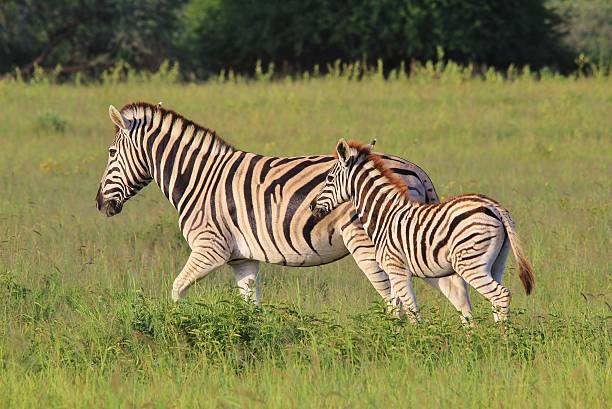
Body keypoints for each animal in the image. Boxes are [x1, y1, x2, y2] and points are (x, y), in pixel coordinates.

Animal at [95, 101, 470, 316]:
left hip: (372, 243)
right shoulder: (242, 258)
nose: (99, 204)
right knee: (453, 288)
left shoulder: (209, 248)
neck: (199, 178)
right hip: (415, 244)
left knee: (395, 298)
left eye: (111, 153)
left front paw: (178, 326)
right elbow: (250, 308)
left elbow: (177, 289)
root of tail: (416, 169)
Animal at [314, 139, 532, 324]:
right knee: (497, 299)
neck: (385, 215)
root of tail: (495, 207)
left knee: (501, 295)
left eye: (329, 178)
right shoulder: (393, 272)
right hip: (497, 262)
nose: (312, 208)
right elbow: (396, 310)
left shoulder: (397, 268)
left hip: (470, 264)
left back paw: (502, 340)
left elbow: (412, 312)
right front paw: (395, 337)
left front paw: (417, 341)